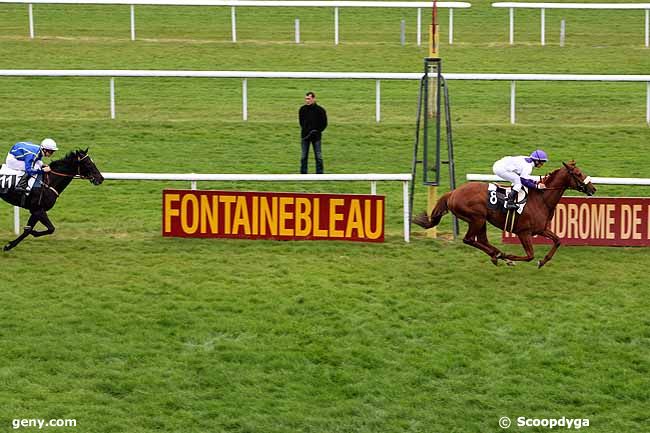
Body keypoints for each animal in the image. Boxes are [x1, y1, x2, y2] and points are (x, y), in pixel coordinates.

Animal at [412, 160, 596, 264]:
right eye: (578, 173)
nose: (592, 188)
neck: (541, 199)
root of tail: (453, 193)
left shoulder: (541, 229)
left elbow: (557, 241)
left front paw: (543, 261)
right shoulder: (523, 232)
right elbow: (529, 255)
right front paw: (510, 258)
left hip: (482, 220)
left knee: (481, 240)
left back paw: (496, 254)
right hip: (476, 218)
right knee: (469, 239)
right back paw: (499, 254)